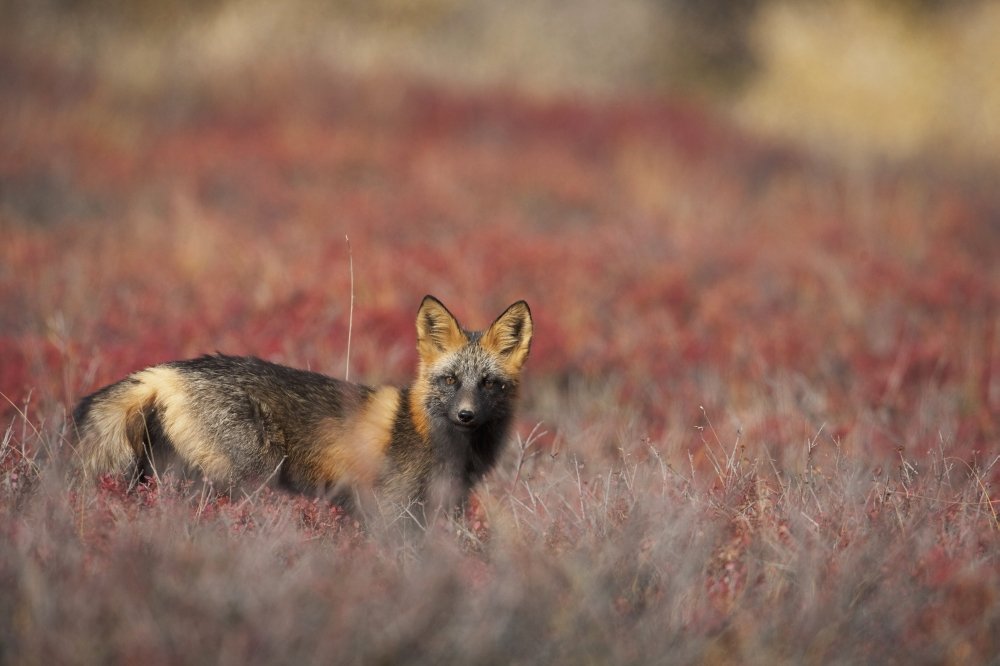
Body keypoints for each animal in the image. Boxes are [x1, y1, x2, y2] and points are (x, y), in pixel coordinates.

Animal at [72, 295, 532, 514]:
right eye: (450, 380)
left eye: (489, 383)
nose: (466, 415)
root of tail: (166, 370)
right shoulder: (389, 508)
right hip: (249, 477)